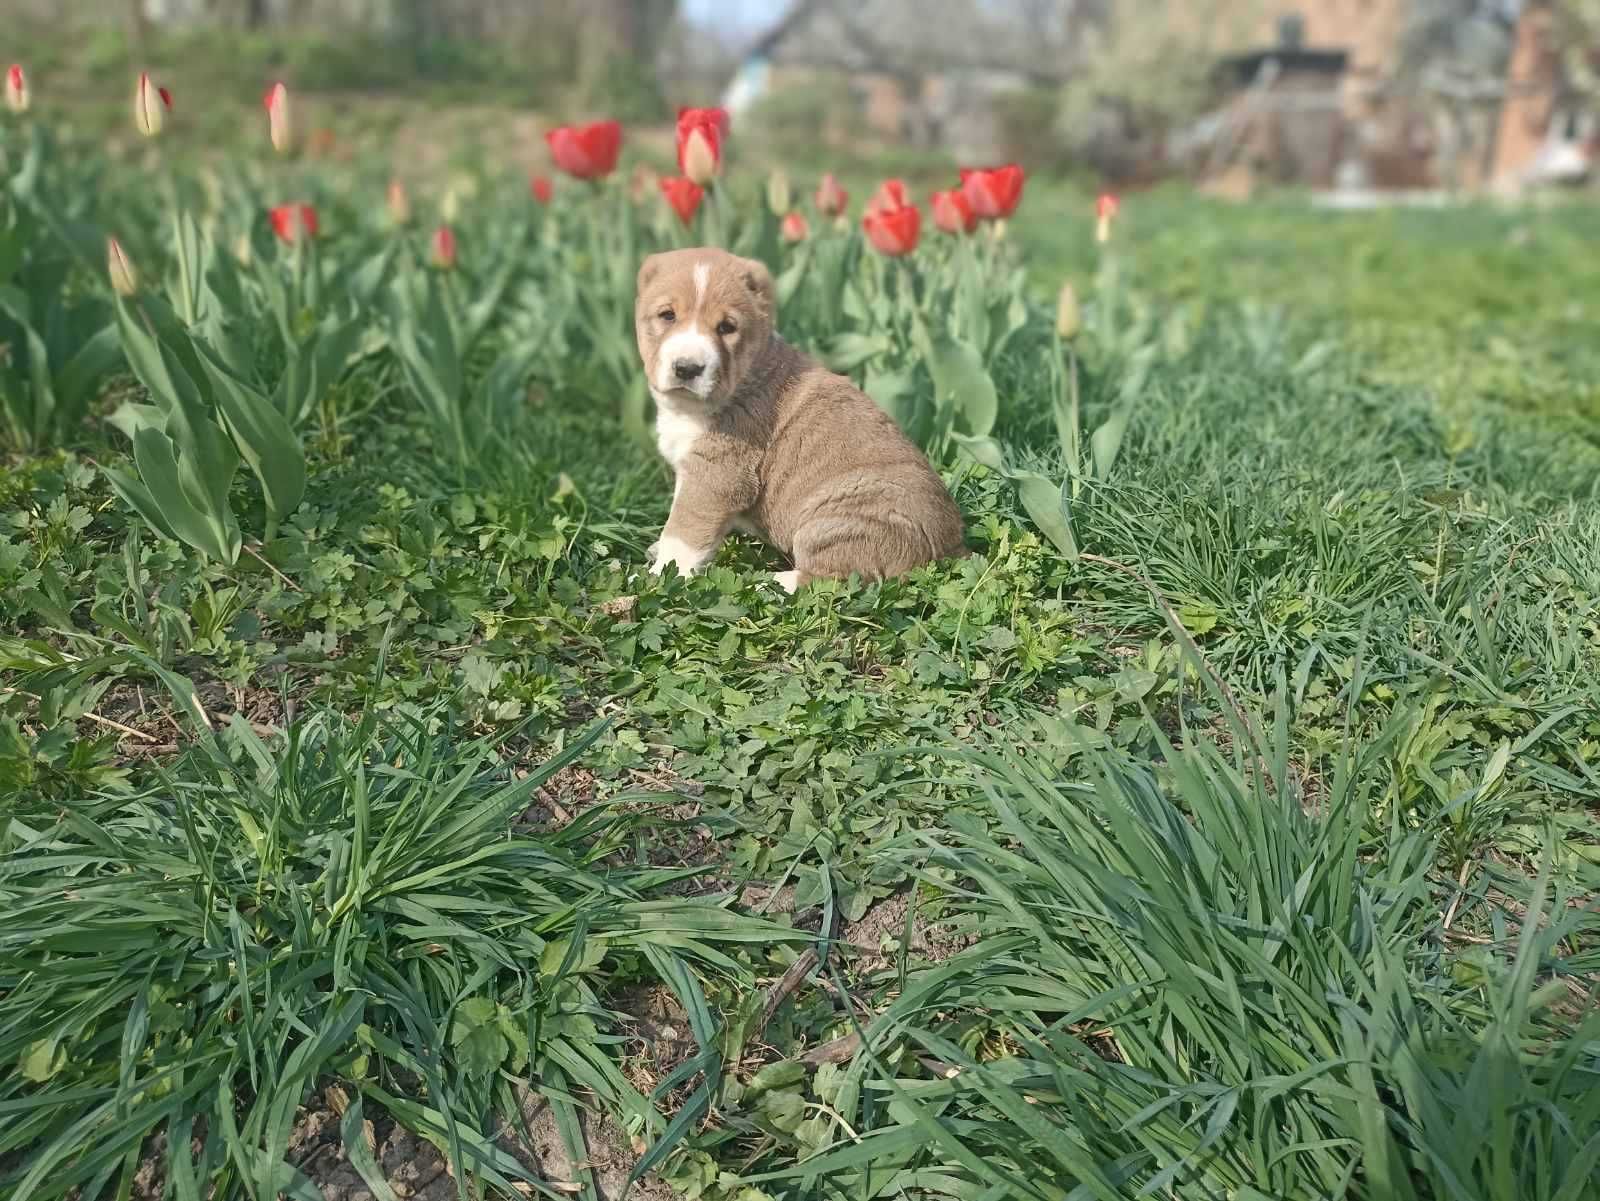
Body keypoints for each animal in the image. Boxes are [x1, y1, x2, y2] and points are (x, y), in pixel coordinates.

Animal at [633, 246, 960, 594]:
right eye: (667, 316)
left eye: (727, 327)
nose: (687, 368)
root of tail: (952, 547)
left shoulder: (716, 476)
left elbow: (683, 533)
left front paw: (658, 579)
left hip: (834, 522)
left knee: (836, 578)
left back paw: (765, 583)